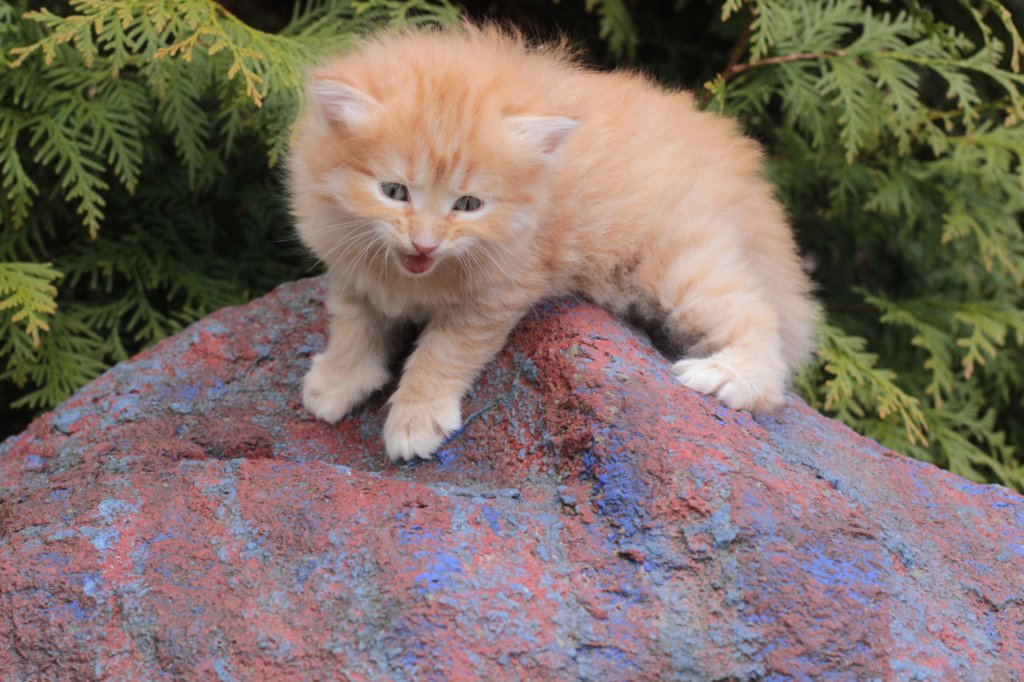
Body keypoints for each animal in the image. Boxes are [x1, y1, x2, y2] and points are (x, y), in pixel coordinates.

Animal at [287, 25, 819, 461]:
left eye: (468, 204)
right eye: (394, 192)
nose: (425, 243)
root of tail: (738, 168)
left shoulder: (496, 294)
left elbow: (443, 353)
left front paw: (416, 418)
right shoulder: (353, 266)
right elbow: (353, 325)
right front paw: (338, 381)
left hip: (678, 266)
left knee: (756, 316)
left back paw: (729, 376)